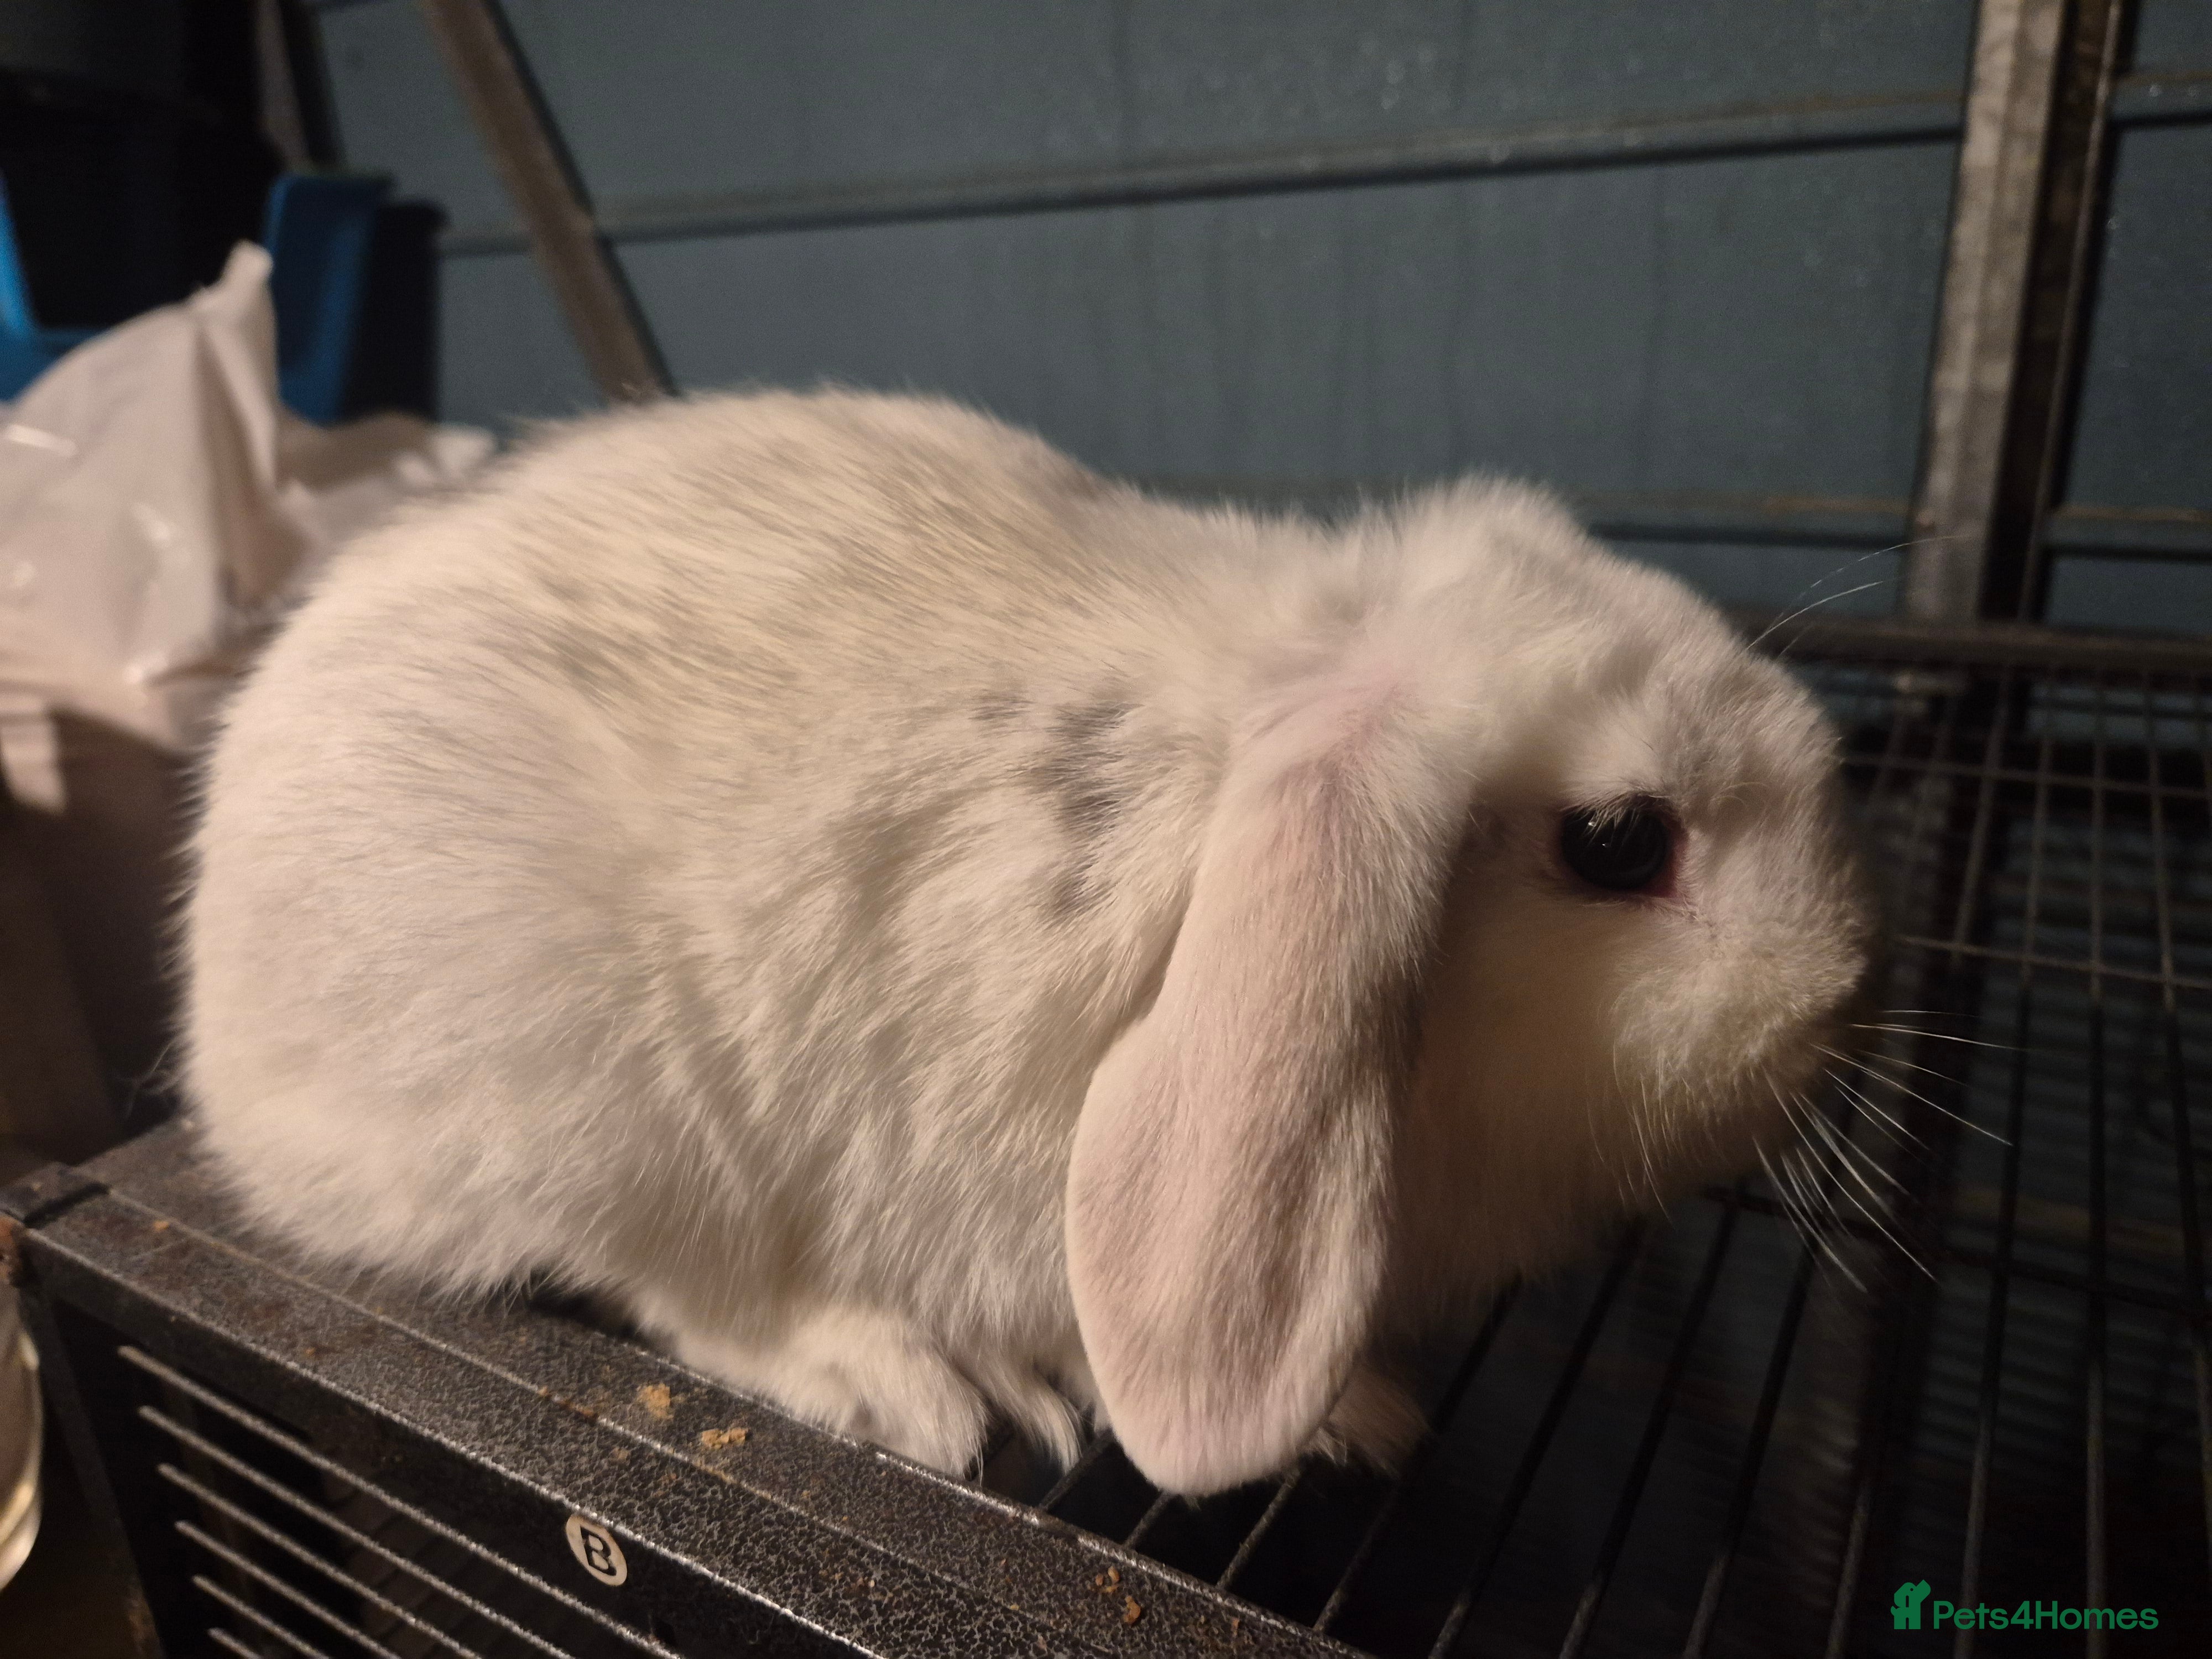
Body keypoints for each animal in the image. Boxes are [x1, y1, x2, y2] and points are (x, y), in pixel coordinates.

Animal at [182, 388, 1873, 1497]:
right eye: (1620, 842)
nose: (1840, 997)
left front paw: (1355, 1413)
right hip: (603, 1112)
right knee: (681, 1285)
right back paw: (903, 1381)